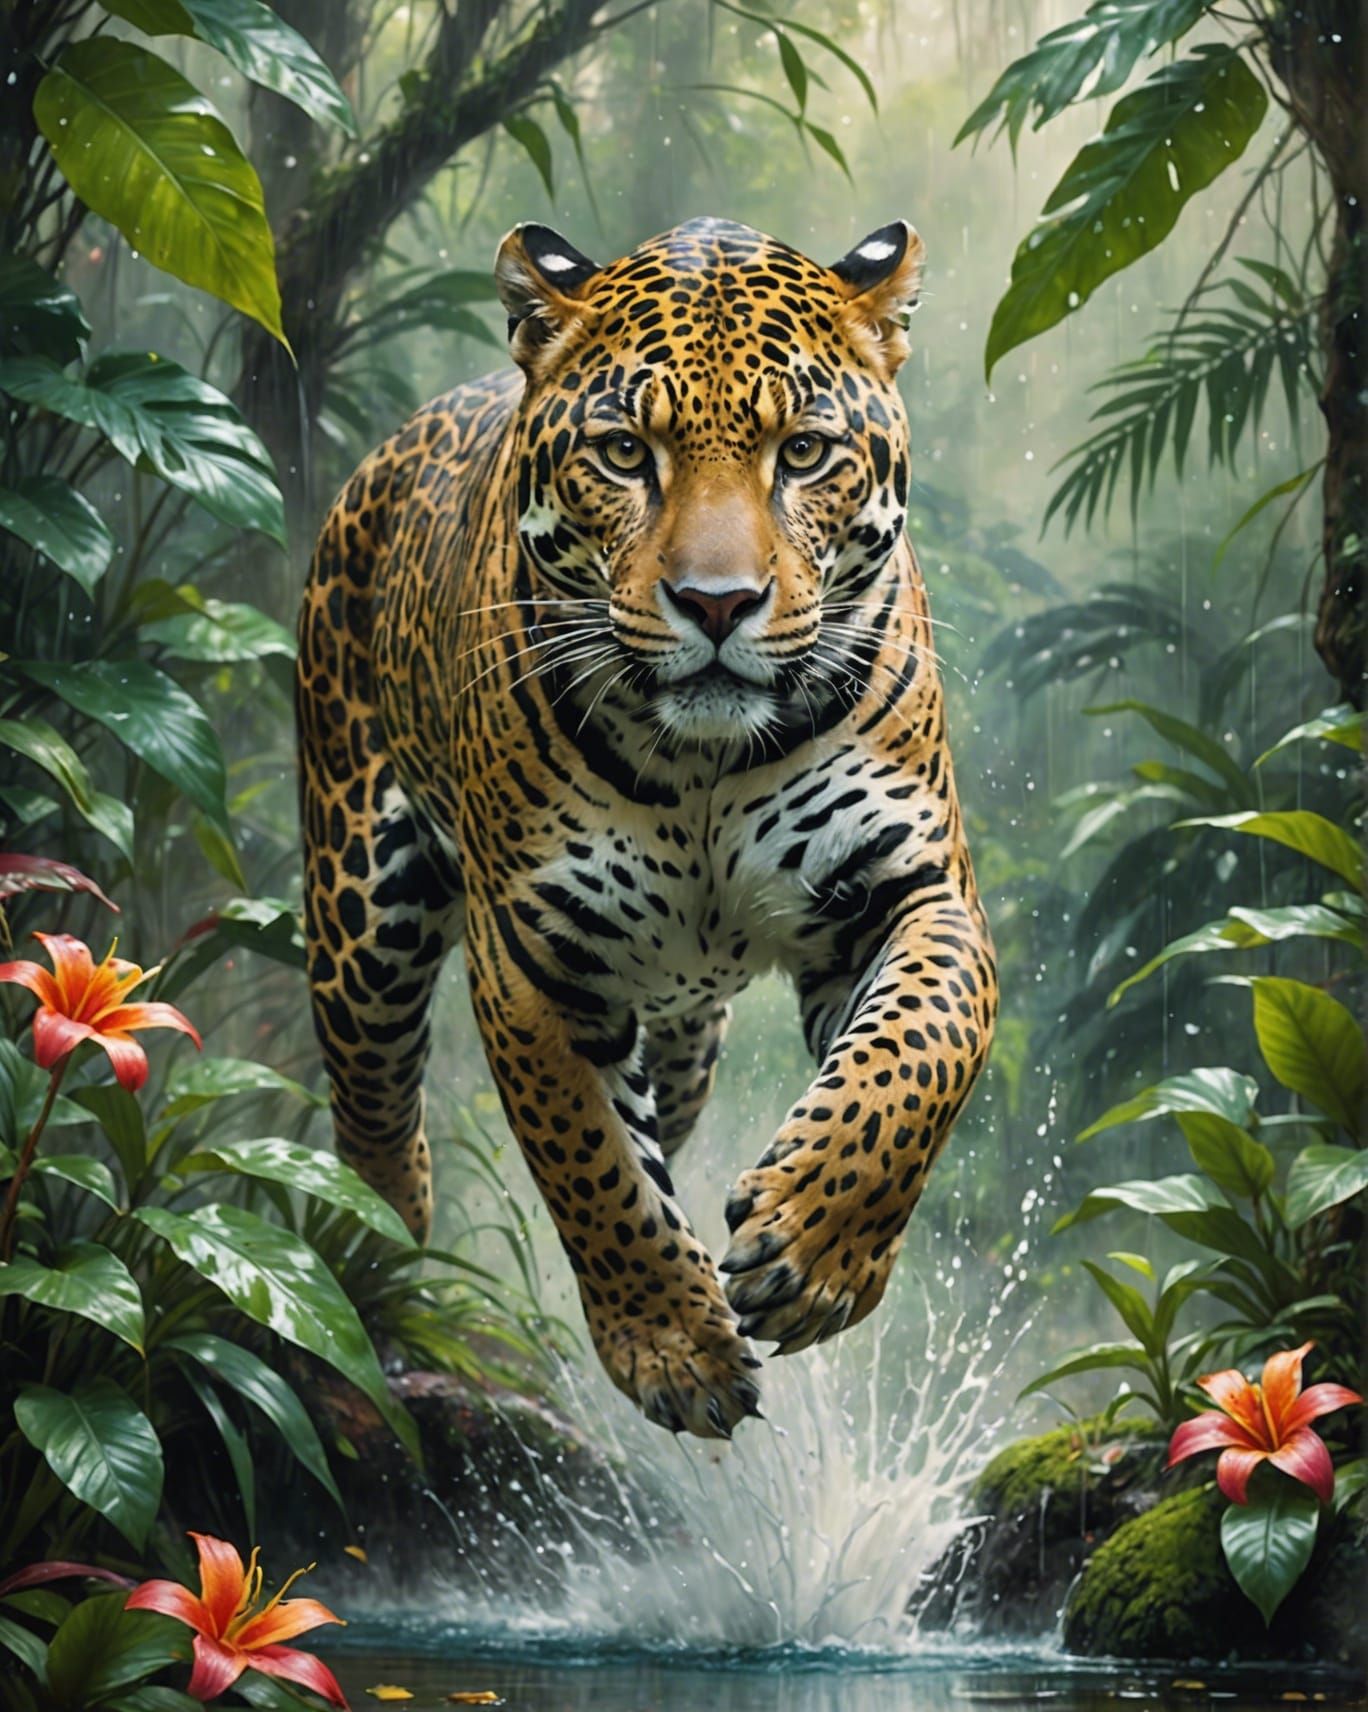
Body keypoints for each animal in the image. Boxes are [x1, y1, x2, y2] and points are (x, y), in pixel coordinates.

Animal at [297, 215, 998, 1441]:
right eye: (626, 454)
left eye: (803, 453)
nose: (717, 603)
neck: (705, 766)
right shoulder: (535, 956)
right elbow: (592, 1165)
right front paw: (674, 1346)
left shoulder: (910, 887)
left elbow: (919, 1050)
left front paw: (814, 1248)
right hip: (358, 916)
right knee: (375, 1105)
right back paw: (370, 1256)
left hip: (686, 1036)